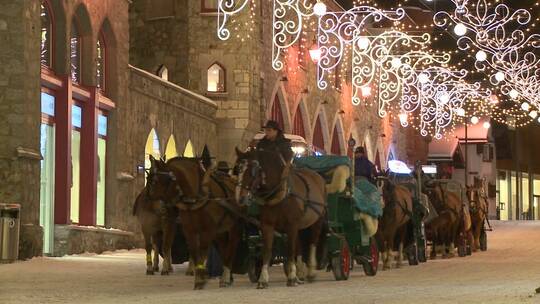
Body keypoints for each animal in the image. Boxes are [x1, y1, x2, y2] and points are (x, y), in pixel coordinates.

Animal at [146, 157, 243, 290]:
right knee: (223, 247)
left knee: (232, 246)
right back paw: (228, 277)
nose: (158, 208)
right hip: (221, 230)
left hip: (234, 227)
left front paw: (200, 278)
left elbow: (202, 251)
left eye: (155, 181)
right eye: (148, 178)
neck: (196, 198)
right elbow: (193, 251)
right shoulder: (189, 229)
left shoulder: (207, 230)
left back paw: (226, 276)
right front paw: (199, 278)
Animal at [235, 148, 324, 288]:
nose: (241, 198)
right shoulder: (267, 225)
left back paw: (310, 273)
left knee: (312, 243)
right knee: (299, 246)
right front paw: (263, 279)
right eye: (238, 169)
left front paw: (291, 277)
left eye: (252, 171)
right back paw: (300, 275)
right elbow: (267, 250)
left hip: (317, 221)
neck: (279, 193)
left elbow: (290, 250)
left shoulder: (292, 225)